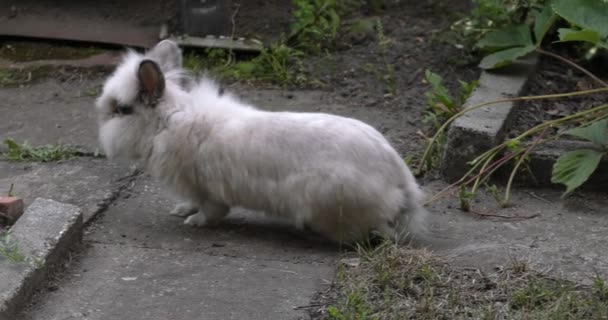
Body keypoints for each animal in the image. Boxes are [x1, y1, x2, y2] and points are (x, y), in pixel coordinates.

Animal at [95, 40, 430, 245]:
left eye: (121, 110)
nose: (100, 116)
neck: (167, 122)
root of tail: (402, 184)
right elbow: (192, 202)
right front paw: (181, 210)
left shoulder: (208, 189)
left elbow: (212, 211)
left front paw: (194, 222)